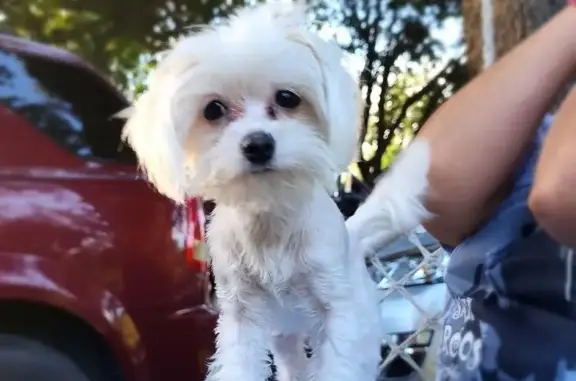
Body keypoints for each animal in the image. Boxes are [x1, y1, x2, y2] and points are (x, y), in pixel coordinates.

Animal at [120, 2, 428, 380]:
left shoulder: (337, 313)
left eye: (287, 98)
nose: (257, 144)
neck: (270, 216)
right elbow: (239, 365)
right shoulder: (242, 313)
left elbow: (338, 362)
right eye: (213, 109)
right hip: (283, 334)